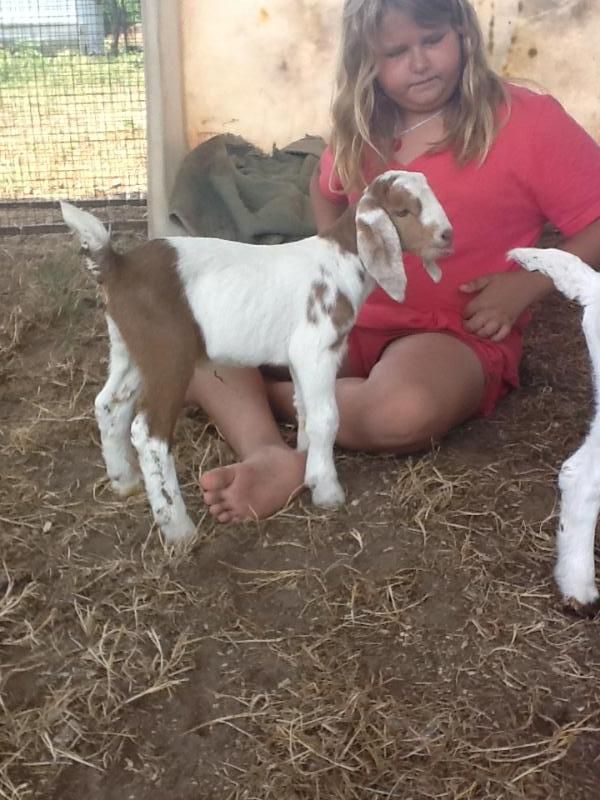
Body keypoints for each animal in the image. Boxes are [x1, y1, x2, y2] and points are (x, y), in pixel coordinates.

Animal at [61, 170, 452, 542]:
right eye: (403, 211)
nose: (447, 235)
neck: (340, 260)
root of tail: (118, 265)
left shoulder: (298, 357)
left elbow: (303, 407)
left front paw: (305, 461)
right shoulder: (317, 349)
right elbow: (326, 417)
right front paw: (326, 489)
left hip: (129, 347)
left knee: (109, 404)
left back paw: (123, 481)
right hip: (169, 353)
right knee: (149, 433)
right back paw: (178, 530)